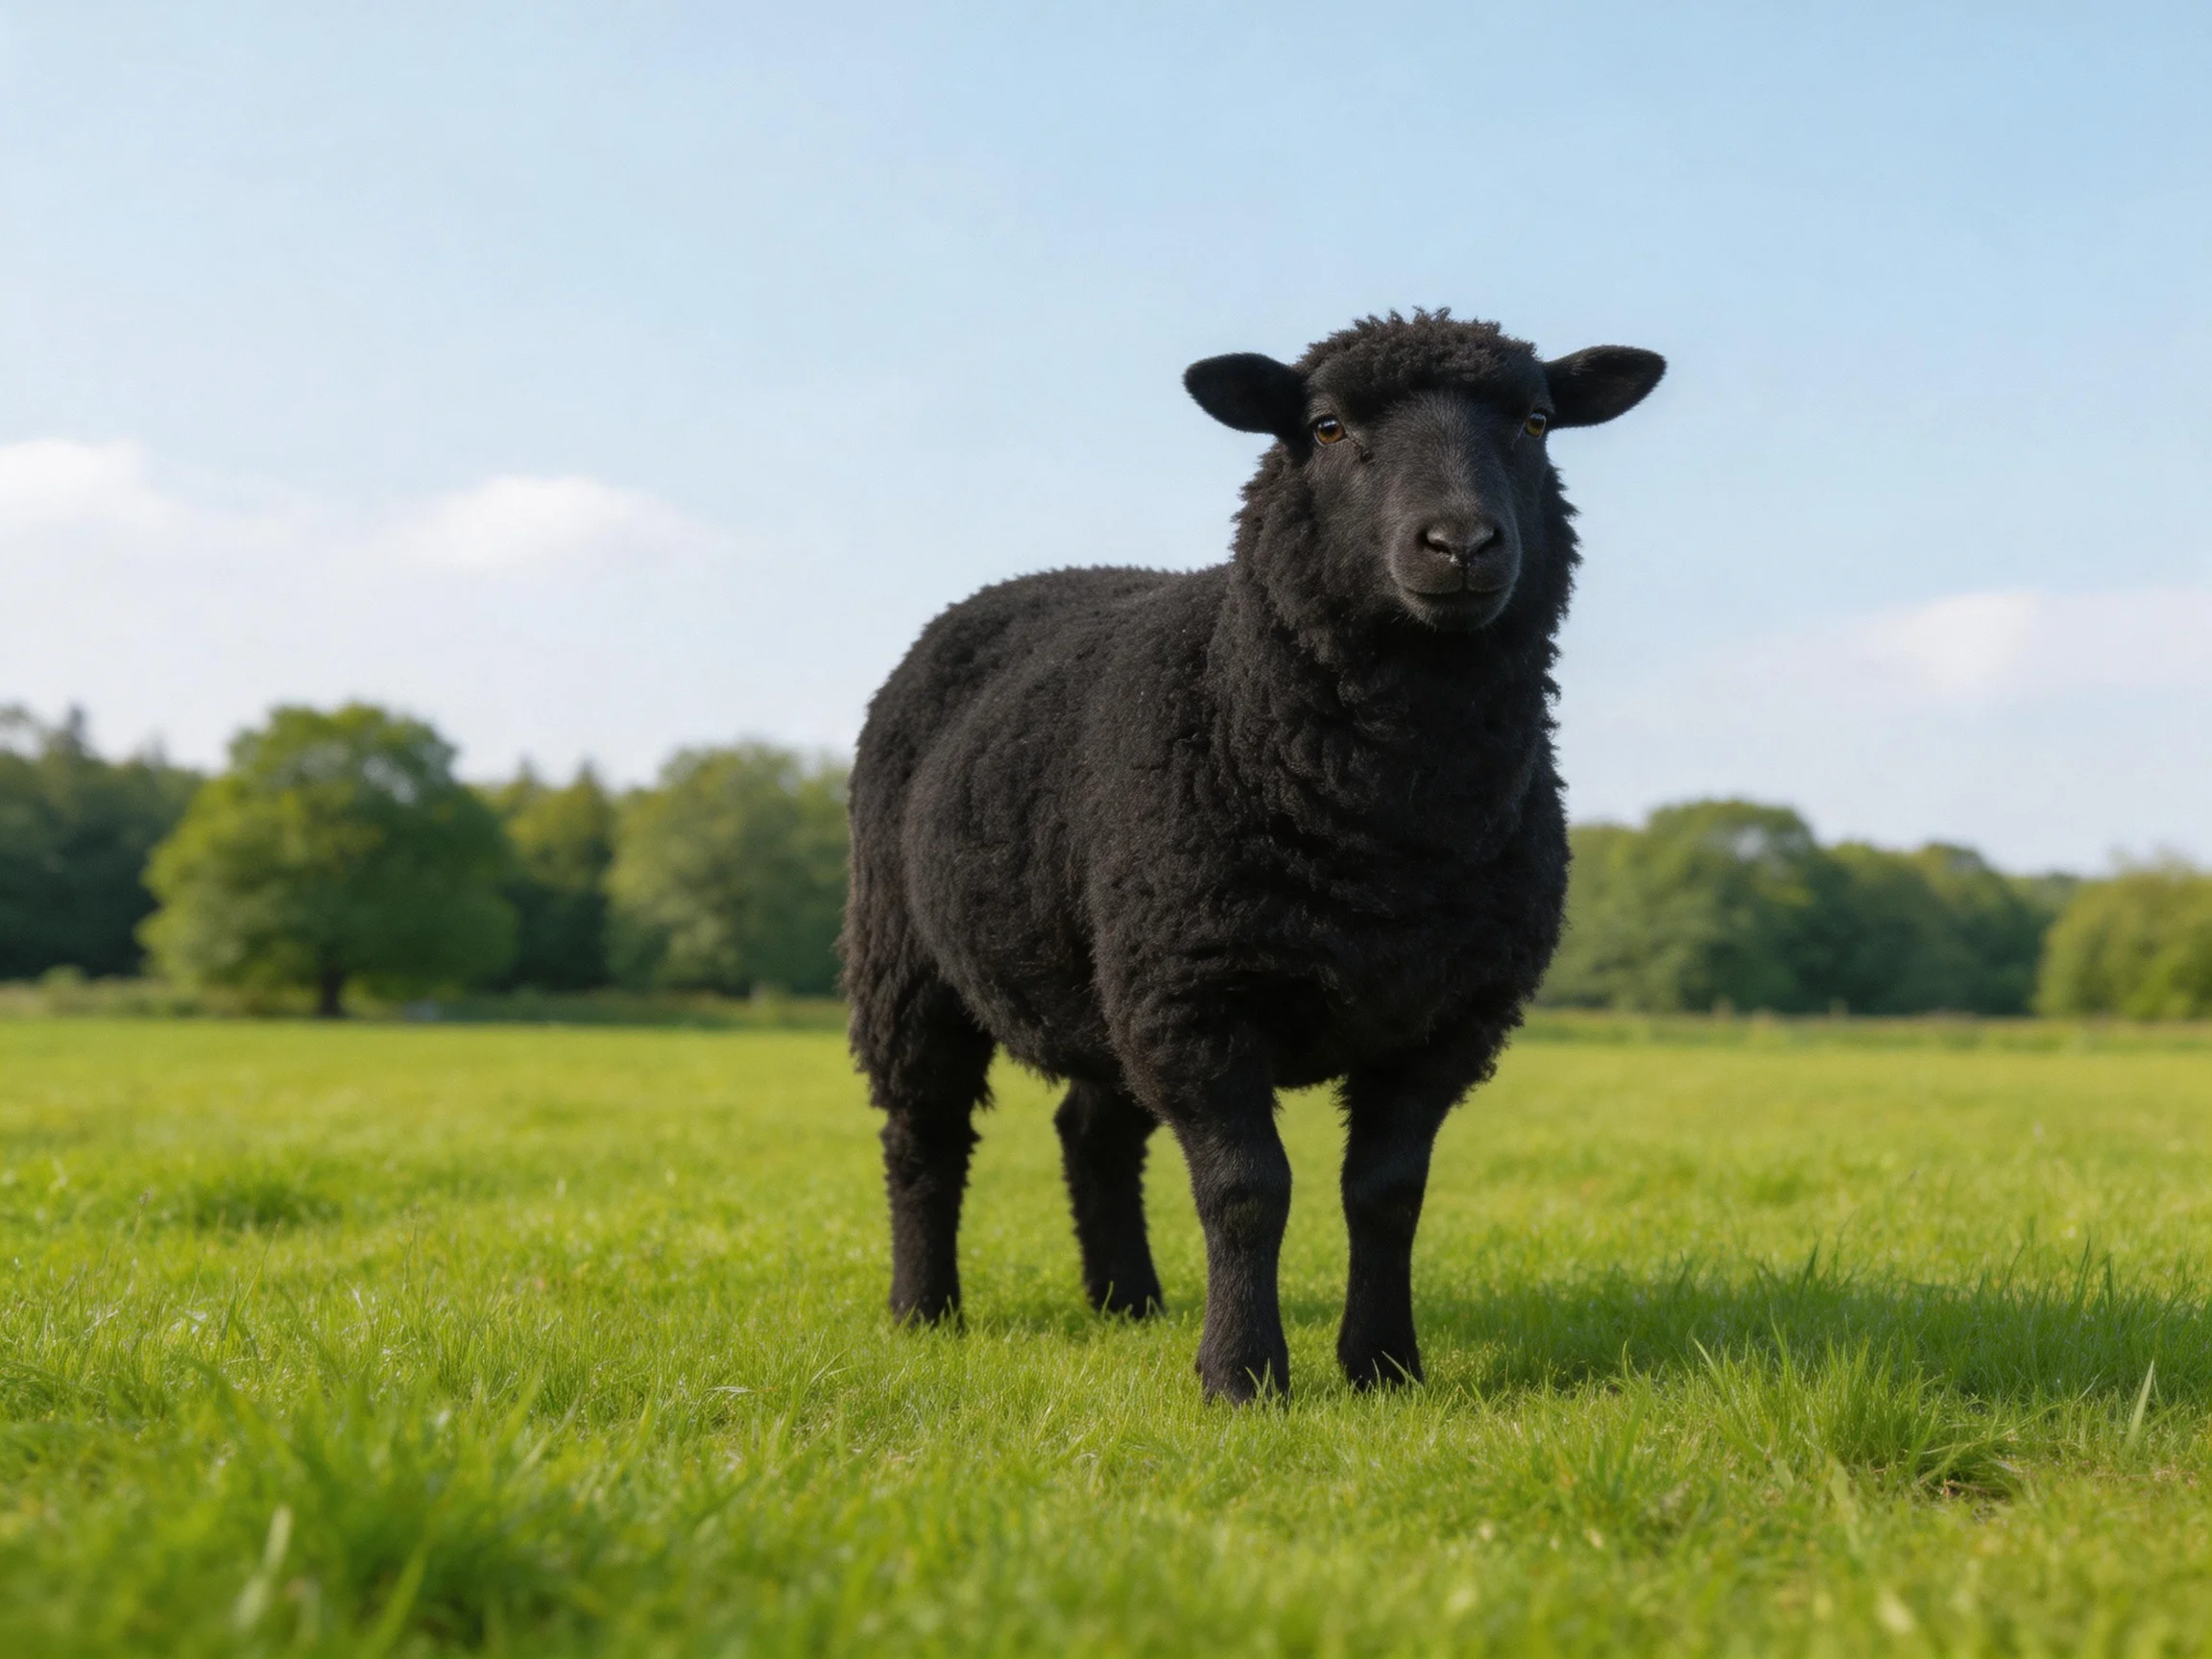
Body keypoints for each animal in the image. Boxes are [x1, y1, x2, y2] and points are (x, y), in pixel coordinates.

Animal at [843, 310, 1665, 1401]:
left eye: (1536, 422)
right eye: (1326, 427)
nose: (1460, 543)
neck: (1383, 826)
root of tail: (1020, 581)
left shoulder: (1445, 1016)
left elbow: (1388, 1193)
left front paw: (1384, 1365)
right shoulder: (1200, 998)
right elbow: (1246, 1191)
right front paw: (1242, 1375)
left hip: (1115, 973)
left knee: (1092, 1133)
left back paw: (1128, 1300)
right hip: (911, 959)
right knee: (923, 1135)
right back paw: (924, 1310)